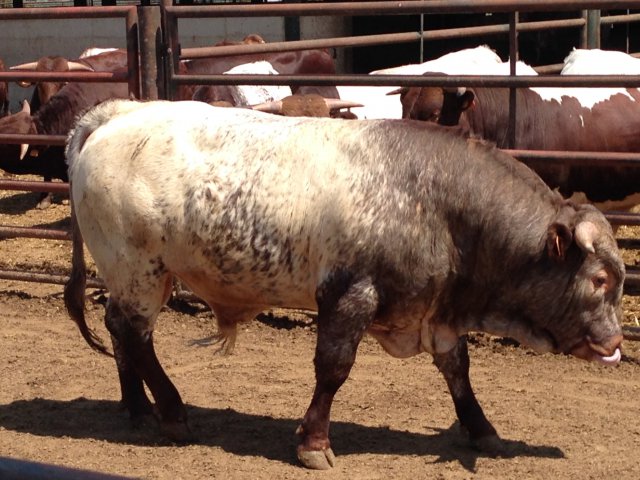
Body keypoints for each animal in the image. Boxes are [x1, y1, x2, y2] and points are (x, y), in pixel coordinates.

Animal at [62, 99, 624, 470]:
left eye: (618, 280)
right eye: (598, 279)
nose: (615, 342)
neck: (441, 204)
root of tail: (117, 115)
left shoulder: (436, 310)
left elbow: (457, 370)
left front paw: (482, 429)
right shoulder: (350, 293)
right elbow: (333, 368)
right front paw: (313, 442)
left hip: (136, 275)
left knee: (119, 328)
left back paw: (137, 408)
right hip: (139, 268)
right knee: (134, 334)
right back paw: (172, 412)